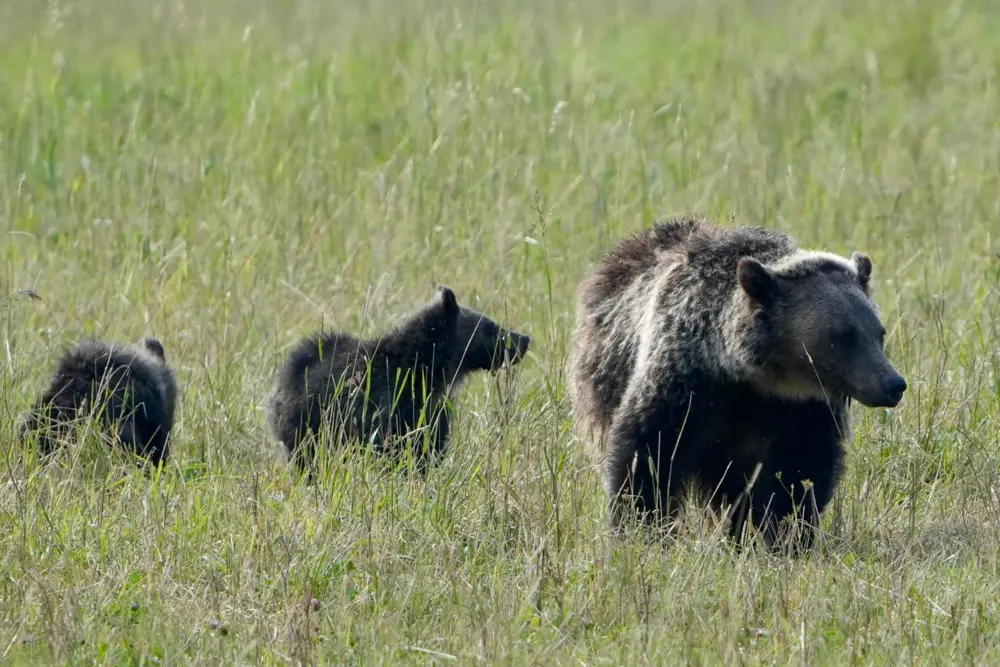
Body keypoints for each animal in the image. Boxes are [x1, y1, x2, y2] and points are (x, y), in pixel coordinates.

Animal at [266, 288, 532, 474]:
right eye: (492, 327)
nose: (524, 339)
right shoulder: (387, 405)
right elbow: (395, 448)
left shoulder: (432, 410)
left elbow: (429, 446)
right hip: (305, 425)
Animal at [572, 218, 908, 548]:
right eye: (844, 336)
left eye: (879, 332)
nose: (893, 384)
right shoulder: (686, 380)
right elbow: (650, 450)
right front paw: (642, 527)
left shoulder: (803, 409)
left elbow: (800, 469)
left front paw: (785, 534)